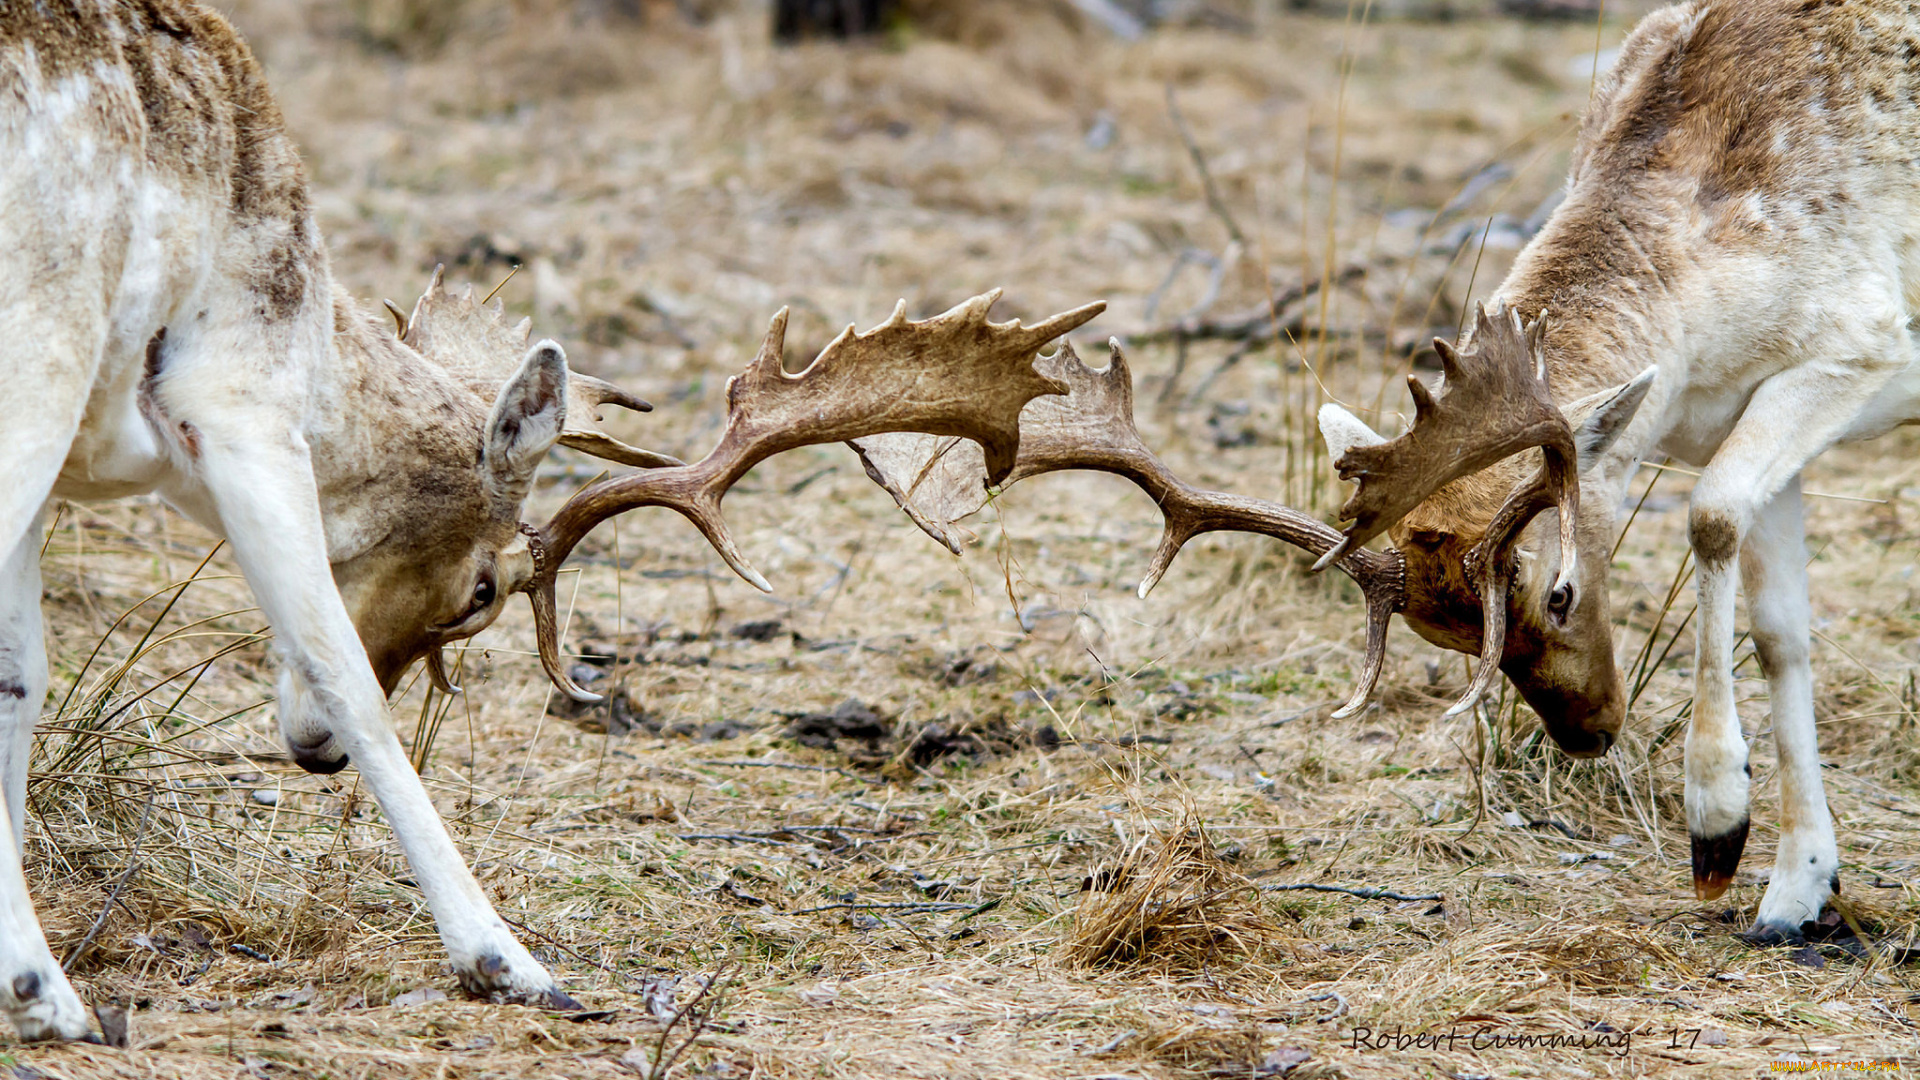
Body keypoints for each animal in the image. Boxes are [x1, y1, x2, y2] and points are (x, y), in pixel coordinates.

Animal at [0, 2, 1105, 1045]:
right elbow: (345, 675)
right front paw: (509, 963)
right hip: (46, 340)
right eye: (483, 589)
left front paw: (35, 989)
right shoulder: (240, 407)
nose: (312, 756)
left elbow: (22, 678)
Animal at [871, 0, 1920, 941]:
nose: (1590, 730)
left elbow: (1707, 517)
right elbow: (1780, 627)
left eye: (1561, 591)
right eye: (1445, 638)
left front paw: (1717, 830)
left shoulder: (1863, 348)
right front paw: (1795, 890)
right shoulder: (1756, 409)